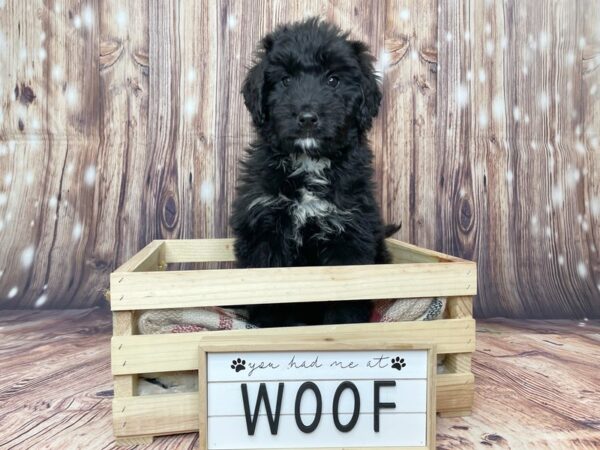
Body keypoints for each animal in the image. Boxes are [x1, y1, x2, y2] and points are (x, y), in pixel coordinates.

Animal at [230, 18, 398, 326]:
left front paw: (345, 325)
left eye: (333, 80)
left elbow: (345, 295)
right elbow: (269, 286)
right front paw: (274, 324)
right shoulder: (265, 228)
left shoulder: (349, 231)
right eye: (285, 80)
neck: (308, 163)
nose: (307, 117)